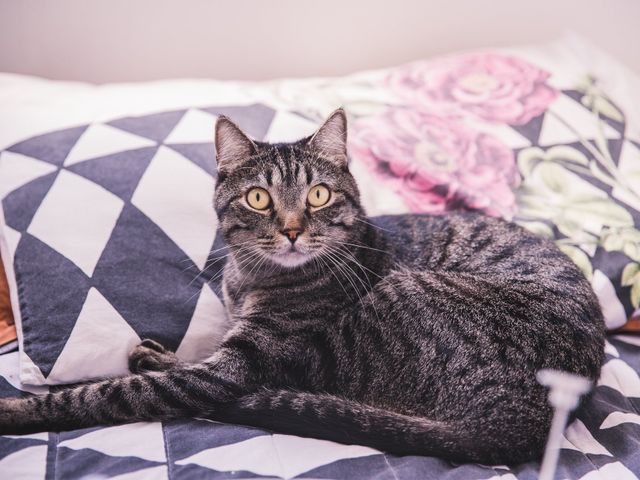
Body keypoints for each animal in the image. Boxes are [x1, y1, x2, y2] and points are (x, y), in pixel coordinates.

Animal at [0, 109, 604, 464]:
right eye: (258, 198)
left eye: (317, 195)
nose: (292, 230)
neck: (250, 278)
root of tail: (526, 423)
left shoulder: (239, 361)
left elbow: (106, 393)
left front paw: (19, 412)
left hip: (366, 324)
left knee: (271, 392)